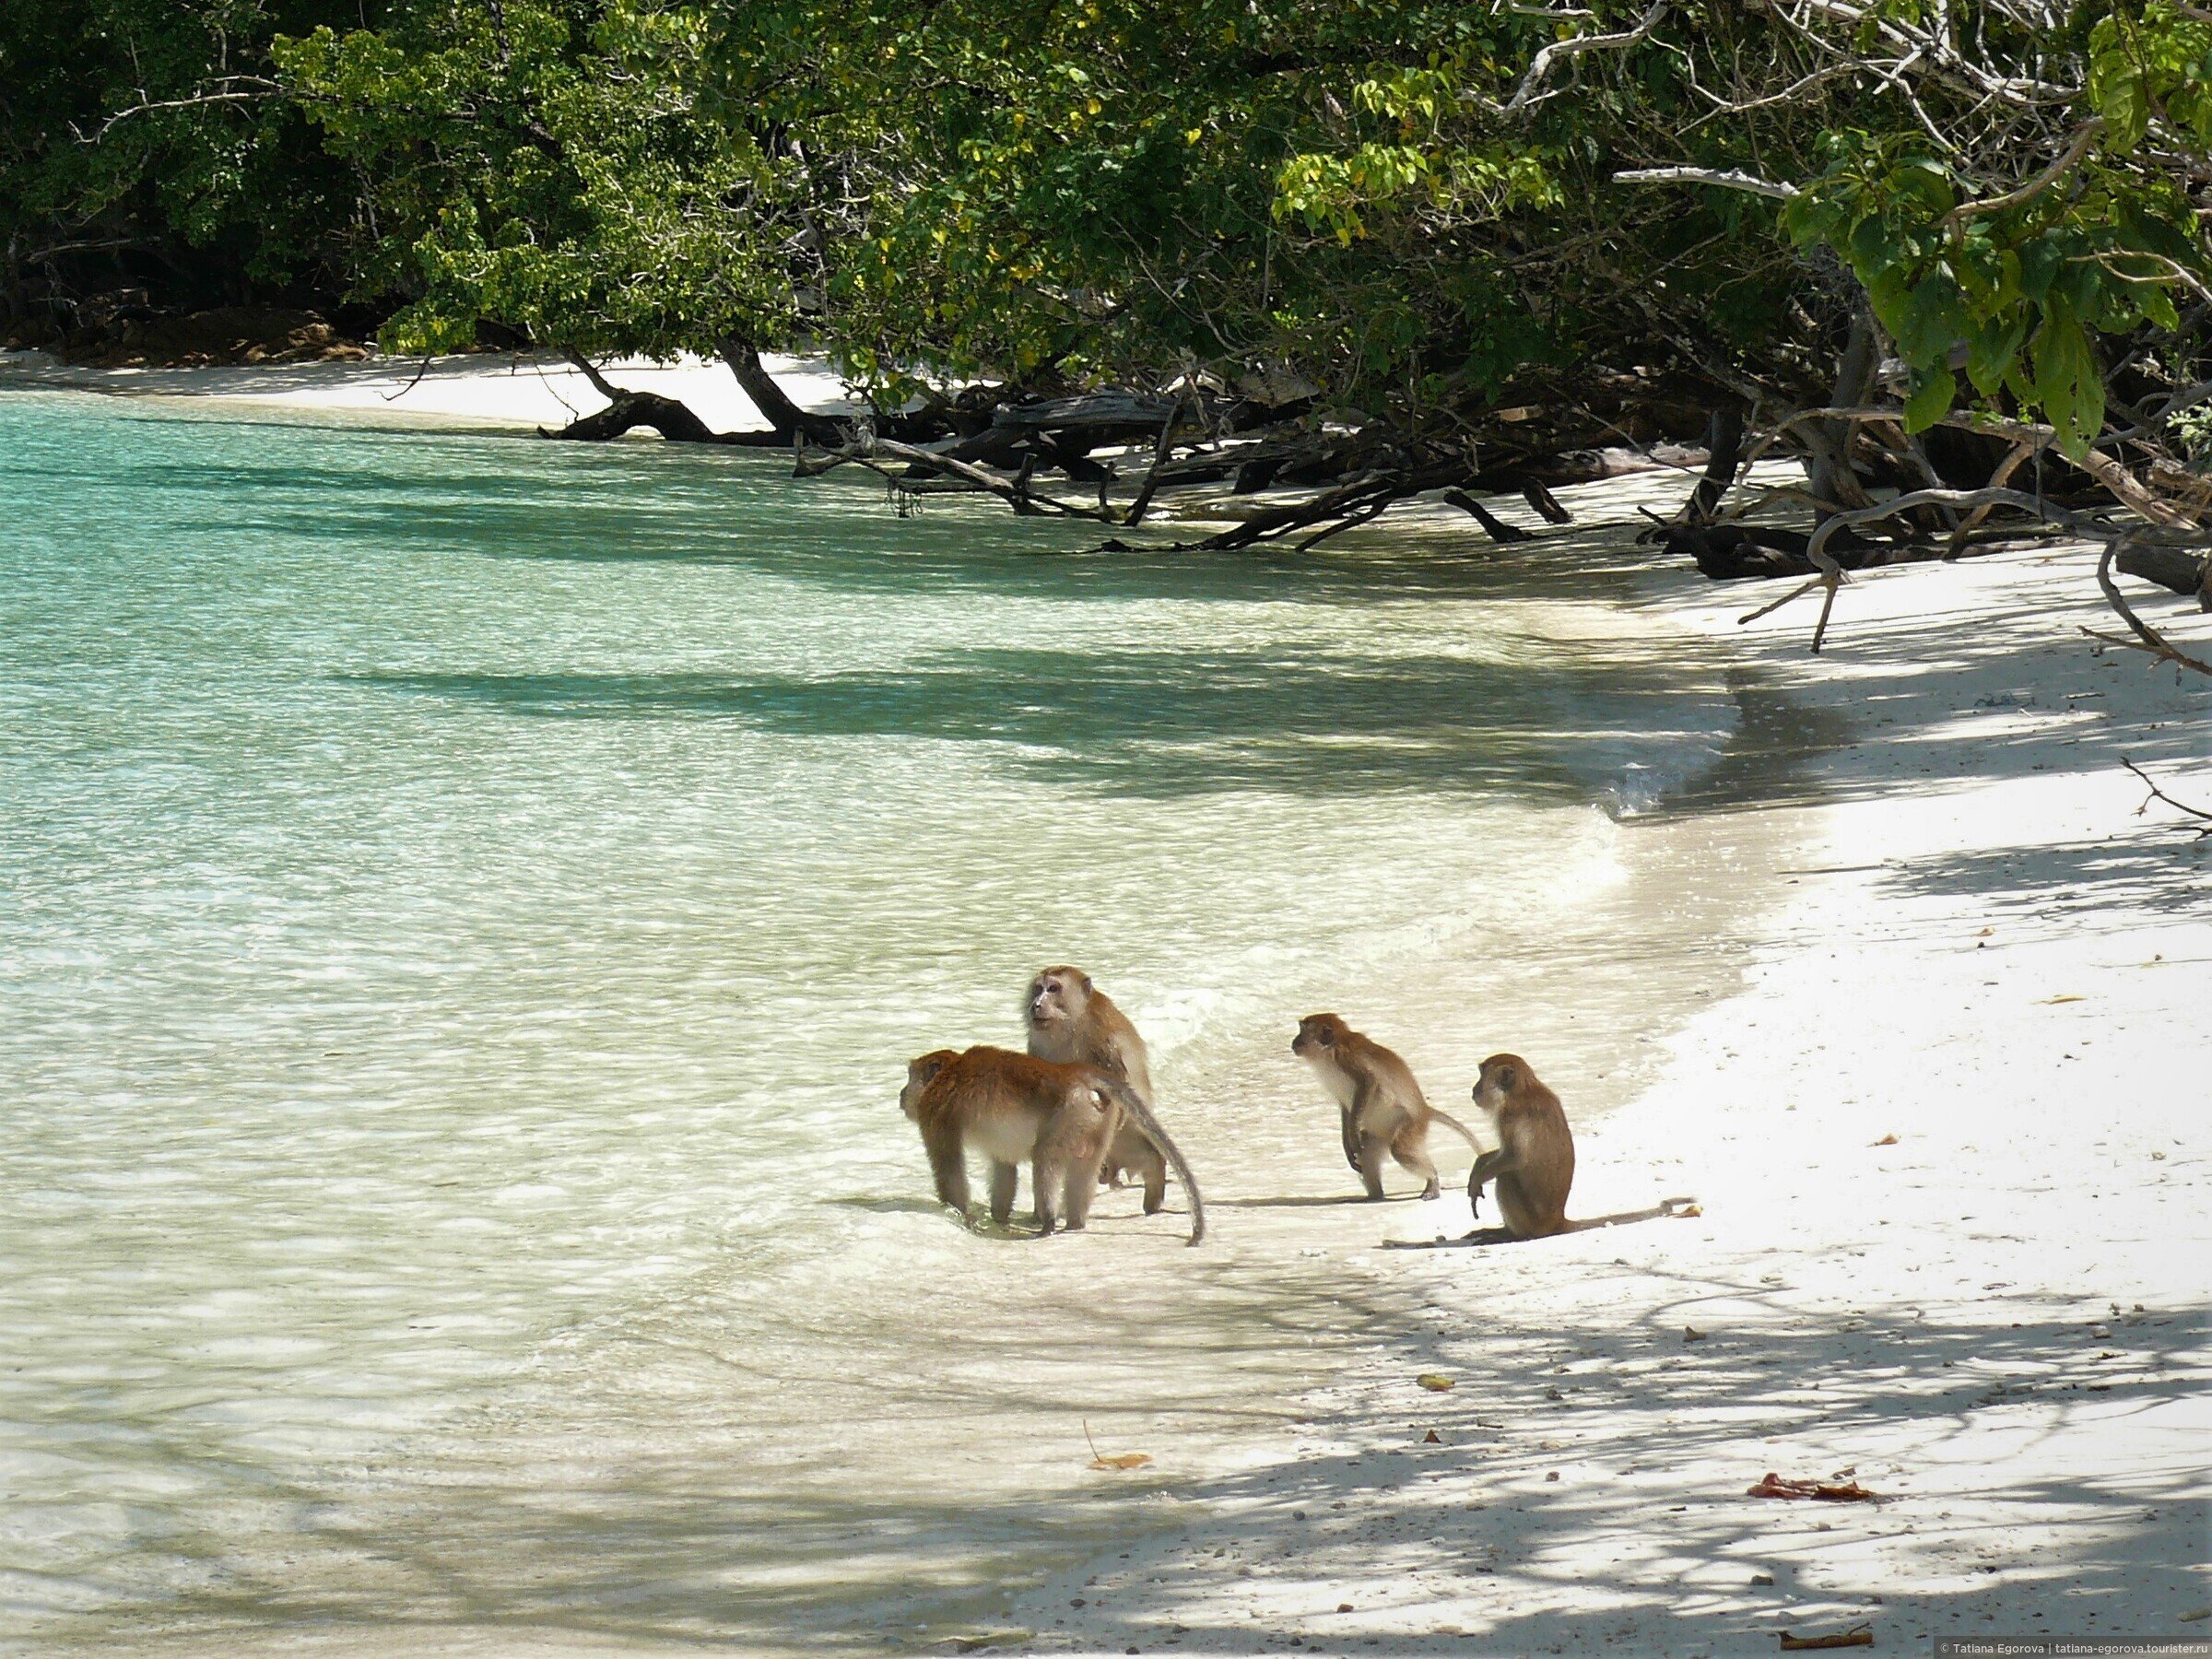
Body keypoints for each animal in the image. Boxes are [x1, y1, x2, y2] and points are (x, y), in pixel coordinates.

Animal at [1291, 1021, 1477, 1203]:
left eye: (1302, 1029)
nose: (1294, 1041)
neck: (1329, 1050)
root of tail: (1424, 1110)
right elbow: (1345, 1108)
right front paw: (1347, 1145)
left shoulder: (1346, 1058)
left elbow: (1369, 1082)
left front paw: (1353, 1131)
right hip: (1380, 1134)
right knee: (1367, 1151)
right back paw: (1374, 1195)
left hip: (1411, 1125)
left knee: (1400, 1150)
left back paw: (1432, 1183)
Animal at [1468, 1057, 1574, 1239]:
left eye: (1481, 1074)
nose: (1474, 1088)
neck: (1522, 1090)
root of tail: (1557, 1221)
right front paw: (1480, 1162)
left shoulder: (1510, 1115)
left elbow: (1515, 1157)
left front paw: (1477, 1179)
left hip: (1531, 1222)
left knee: (1505, 1176)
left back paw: (1510, 1235)